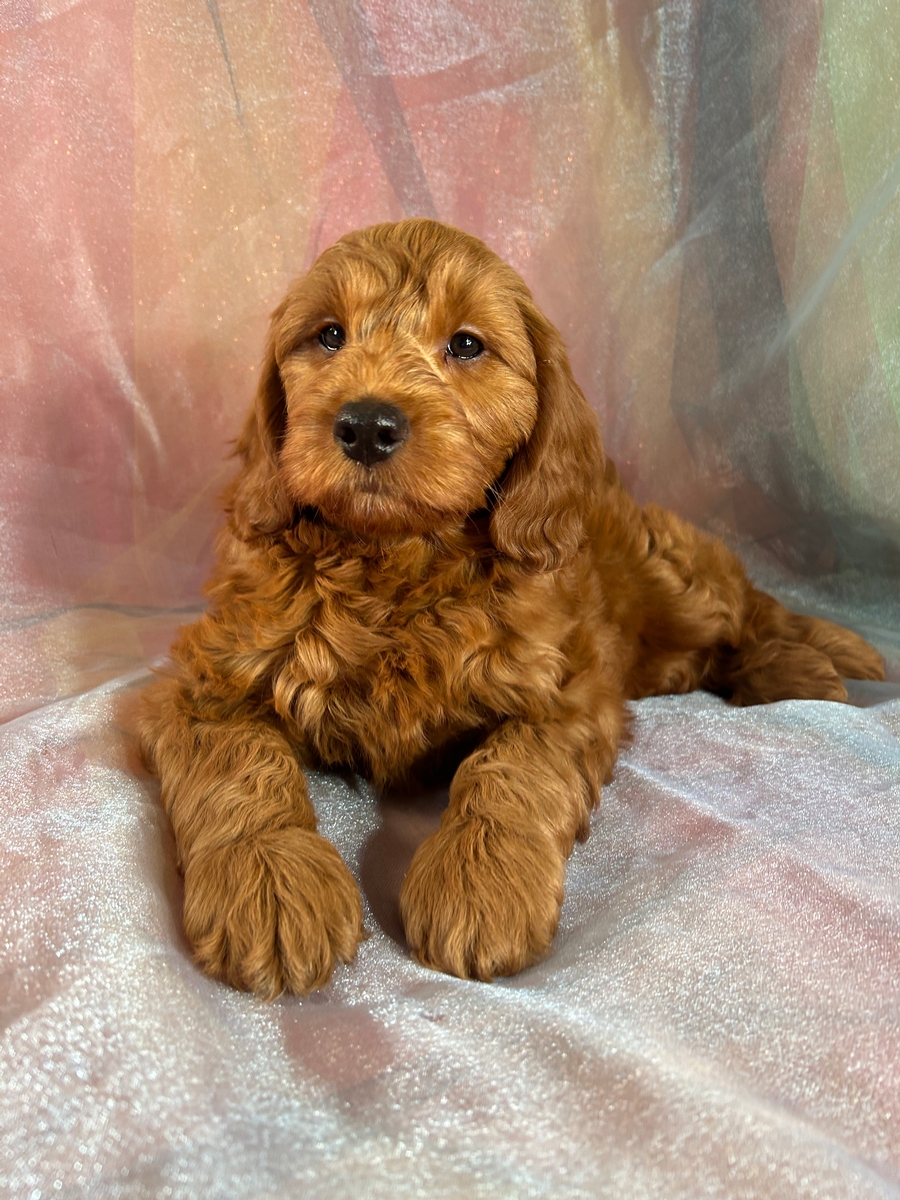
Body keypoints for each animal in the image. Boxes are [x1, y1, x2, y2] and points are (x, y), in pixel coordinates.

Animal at [141, 216, 888, 993]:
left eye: (468, 345)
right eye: (328, 336)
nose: (367, 425)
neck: (394, 561)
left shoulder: (563, 689)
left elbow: (512, 768)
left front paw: (480, 882)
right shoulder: (205, 678)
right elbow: (239, 761)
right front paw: (270, 877)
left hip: (675, 575)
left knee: (747, 607)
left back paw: (800, 665)